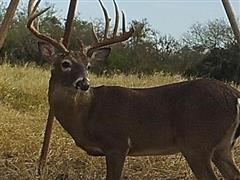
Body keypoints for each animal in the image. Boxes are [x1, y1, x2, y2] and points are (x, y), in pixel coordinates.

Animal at [27, 0, 240, 179]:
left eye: (88, 66)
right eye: (65, 64)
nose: (84, 84)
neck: (86, 116)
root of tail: (235, 95)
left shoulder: (118, 143)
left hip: (196, 142)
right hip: (222, 148)